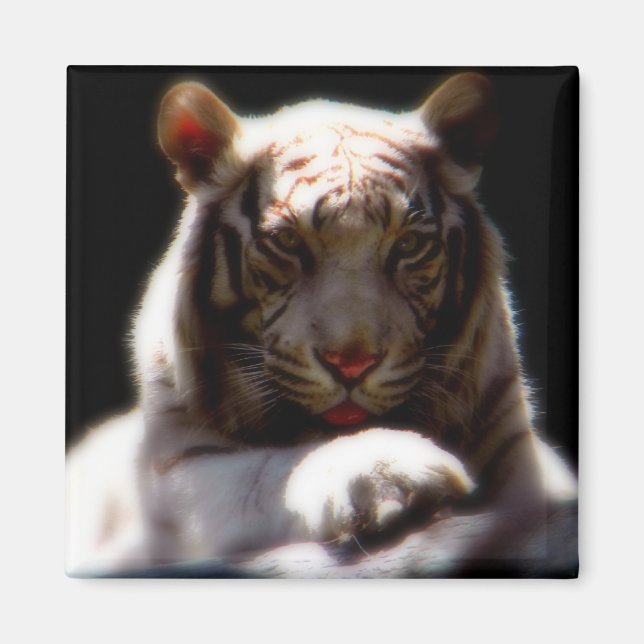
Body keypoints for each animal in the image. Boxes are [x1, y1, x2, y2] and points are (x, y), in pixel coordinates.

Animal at [65, 73, 576, 576]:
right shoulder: (173, 477)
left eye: (408, 245)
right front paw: (386, 470)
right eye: (288, 242)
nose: (351, 365)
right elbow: (259, 475)